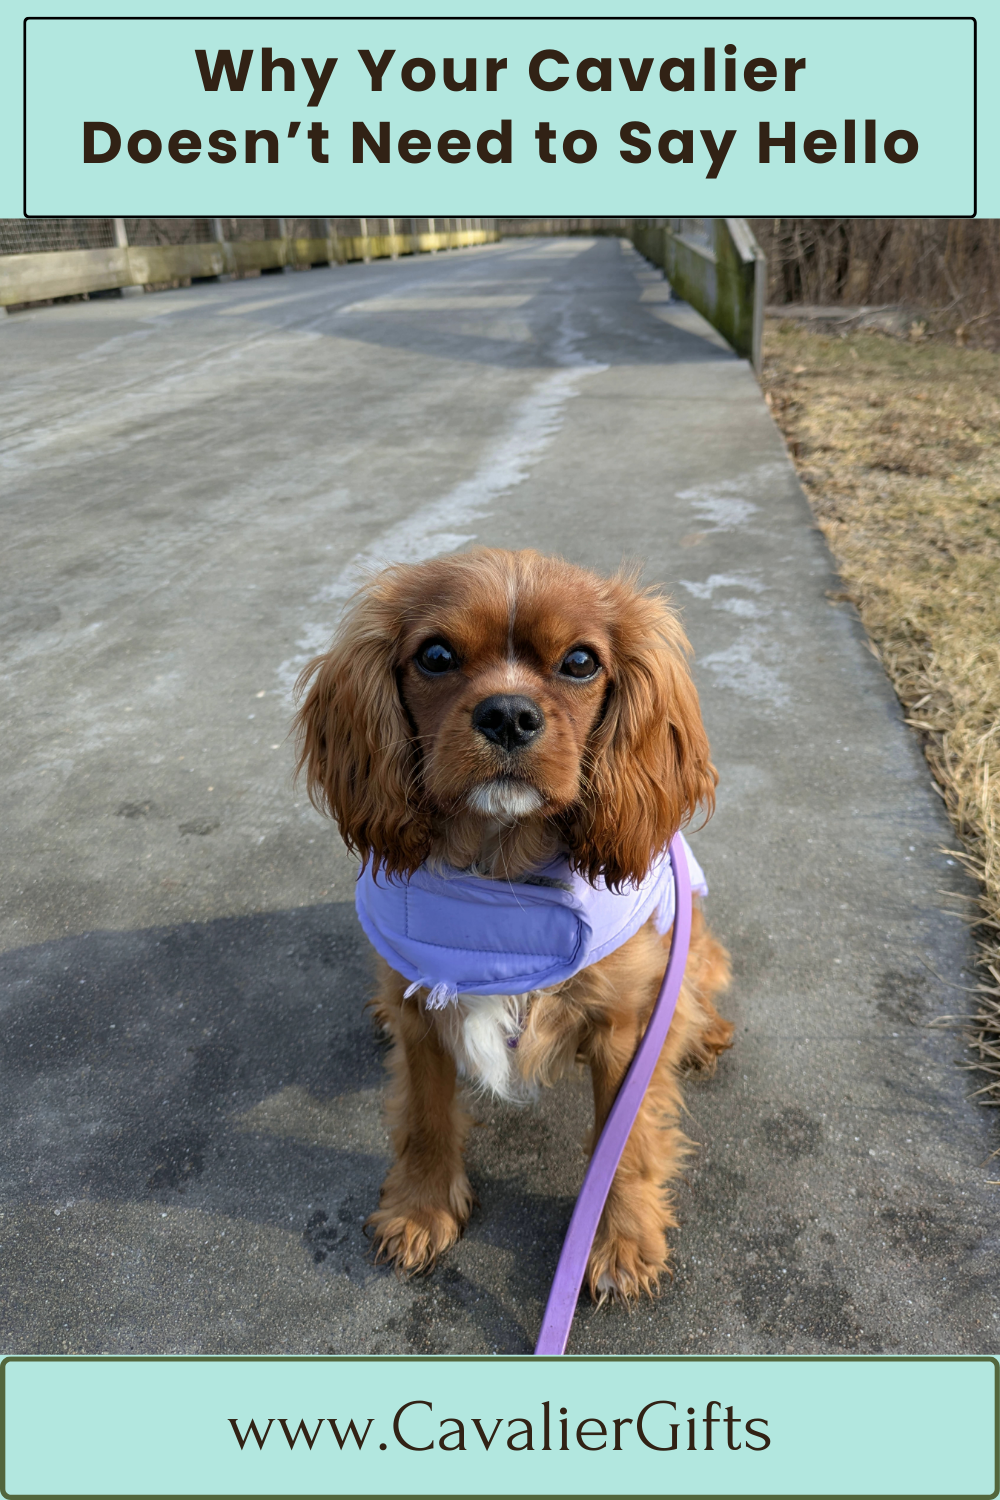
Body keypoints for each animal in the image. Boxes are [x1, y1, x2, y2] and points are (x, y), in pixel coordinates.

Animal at [293, 549, 731, 1302]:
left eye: (581, 662)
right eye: (436, 655)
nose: (508, 713)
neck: (500, 878)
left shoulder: (623, 1030)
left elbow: (628, 1139)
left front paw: (621, 1237)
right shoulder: (421, 1010)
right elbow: (426, 1119)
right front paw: (421, 1209)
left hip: (689, 943)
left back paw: (701, 1034)